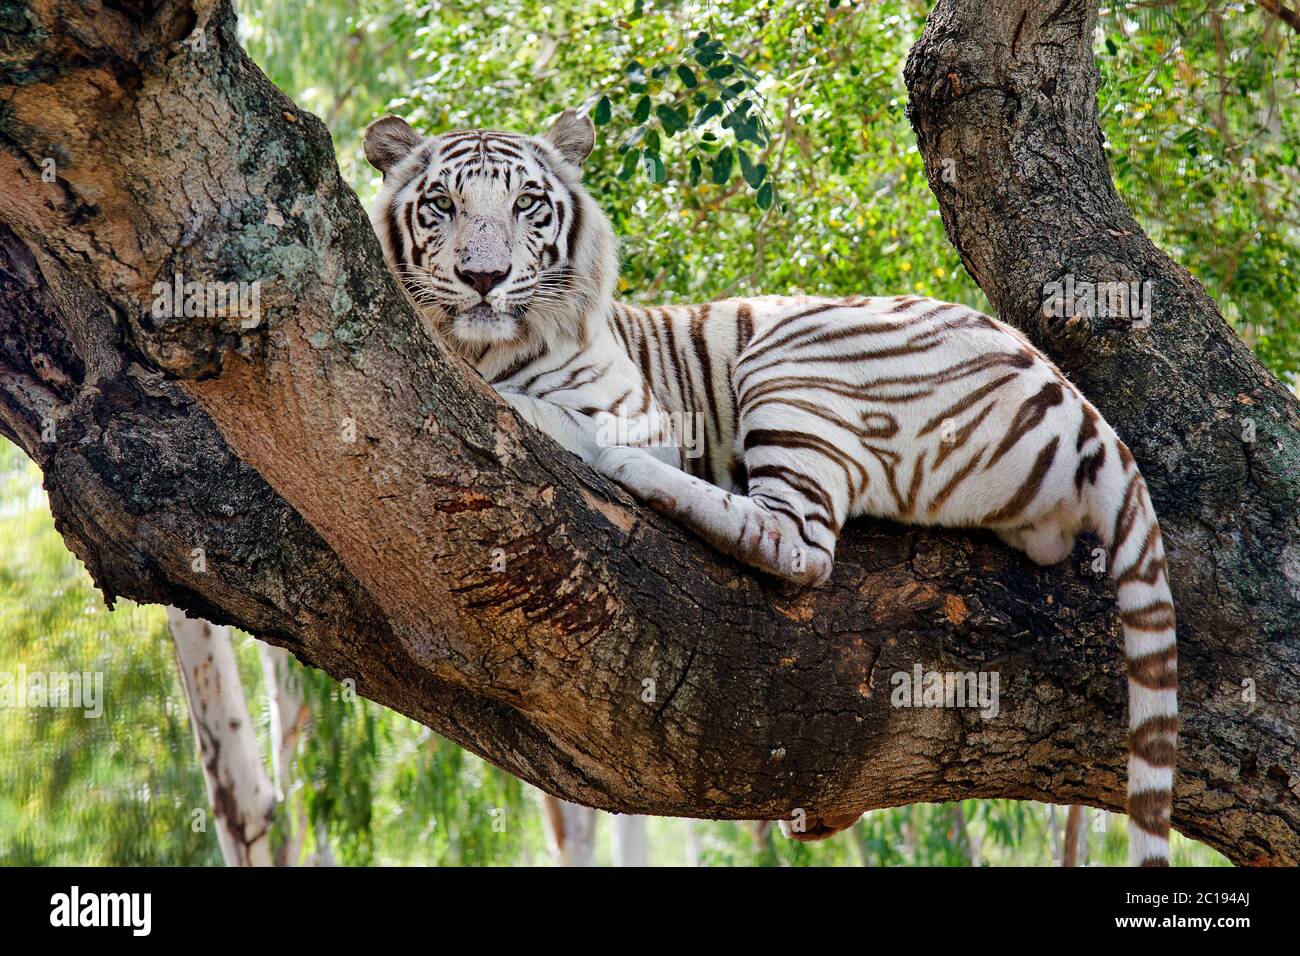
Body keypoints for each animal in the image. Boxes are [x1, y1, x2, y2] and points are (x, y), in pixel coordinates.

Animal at [363, 108, 1178, 866]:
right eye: (440, 205)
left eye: (527, 204)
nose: (483, 279)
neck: (481, 345)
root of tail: (1073, 396)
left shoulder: (637, 414)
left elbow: (525, 404)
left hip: (791, 356)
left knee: (799, 547)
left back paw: (635, 476)